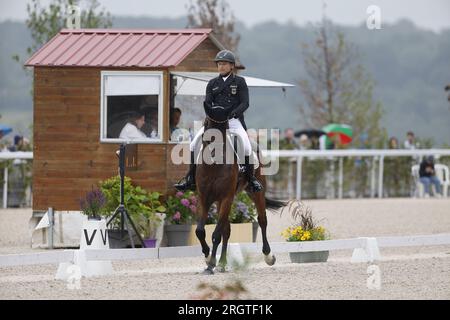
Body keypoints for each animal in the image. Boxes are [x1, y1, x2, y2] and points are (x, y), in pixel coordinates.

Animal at [194, 106, 284, 274]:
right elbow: (200, 231)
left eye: (223, 128)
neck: (213, 167)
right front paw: (208, 259)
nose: (212, 154)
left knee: (262, 221)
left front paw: (210, 264)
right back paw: (222, 264)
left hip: (255, 192)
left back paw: (268, 256)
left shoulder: (226, 197)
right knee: (226, 229)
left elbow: (216, 234)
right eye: (207, 125)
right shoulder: (204, 198)